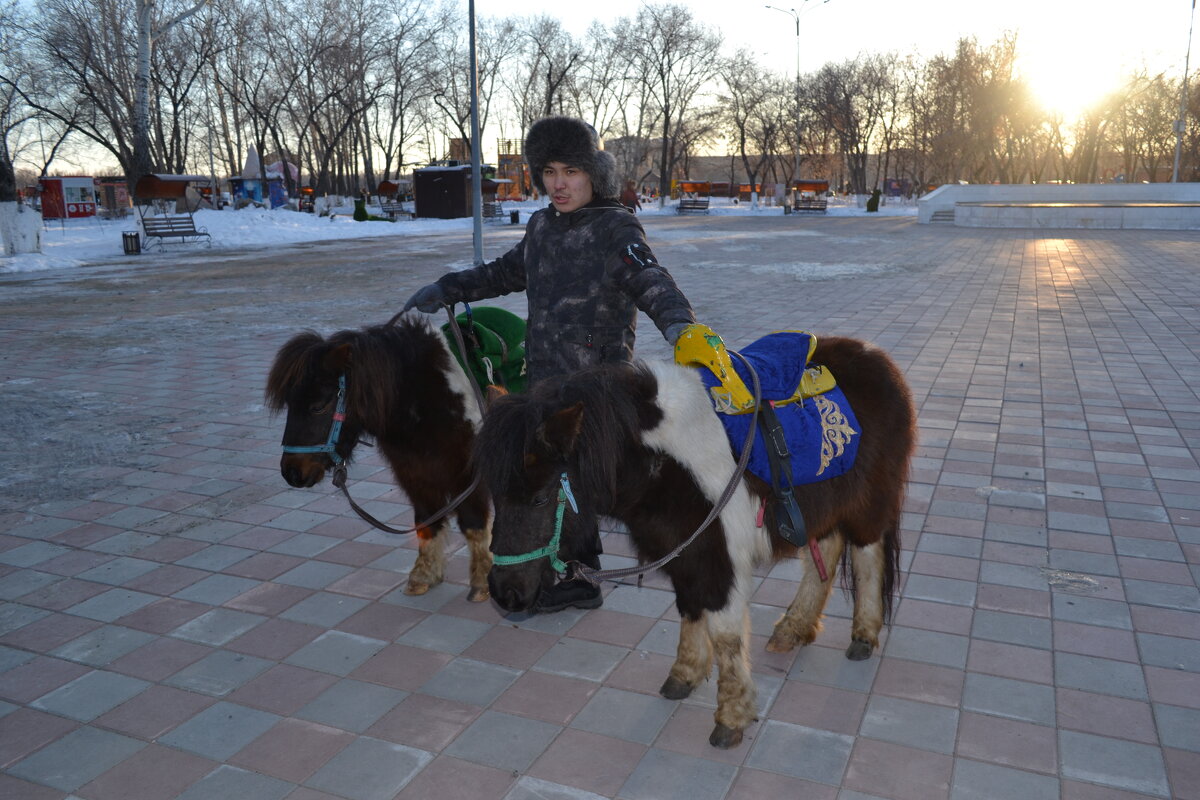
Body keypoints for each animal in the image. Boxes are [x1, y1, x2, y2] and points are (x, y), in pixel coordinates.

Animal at [267, 316, 492, 604]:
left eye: (317, 406)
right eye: (289, 404)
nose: (292, 473)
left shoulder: (466, 475)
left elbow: (473, 523)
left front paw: (481, 582)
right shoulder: (416, 474)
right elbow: (426, 521)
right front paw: (423, 576)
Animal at [477, 338, 916, 753]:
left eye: (538, 499)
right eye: (494, 494)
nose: (504, 593)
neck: (665, 466)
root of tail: (880, 362)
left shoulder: (720, 559)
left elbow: (725, 635)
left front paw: (731, 717)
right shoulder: (686, 554)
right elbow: (689, 610)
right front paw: (684, 675)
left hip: (868, 505)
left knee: (867, 557)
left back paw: (863, 635)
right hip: (823, 509)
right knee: (824, 554)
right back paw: (793, 629)